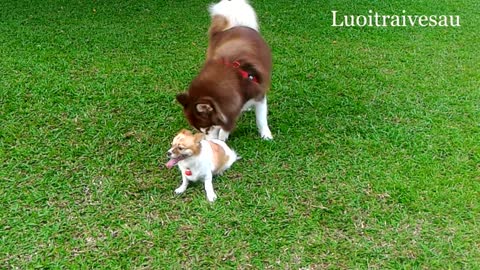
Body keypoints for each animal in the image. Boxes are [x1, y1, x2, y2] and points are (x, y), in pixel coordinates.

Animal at [176, 0, 274, 141]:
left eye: (207, 128)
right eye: (200, 130)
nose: (206, 142)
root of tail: (237, 26)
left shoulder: (259, 95)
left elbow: (261, 119)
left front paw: (266, 135)